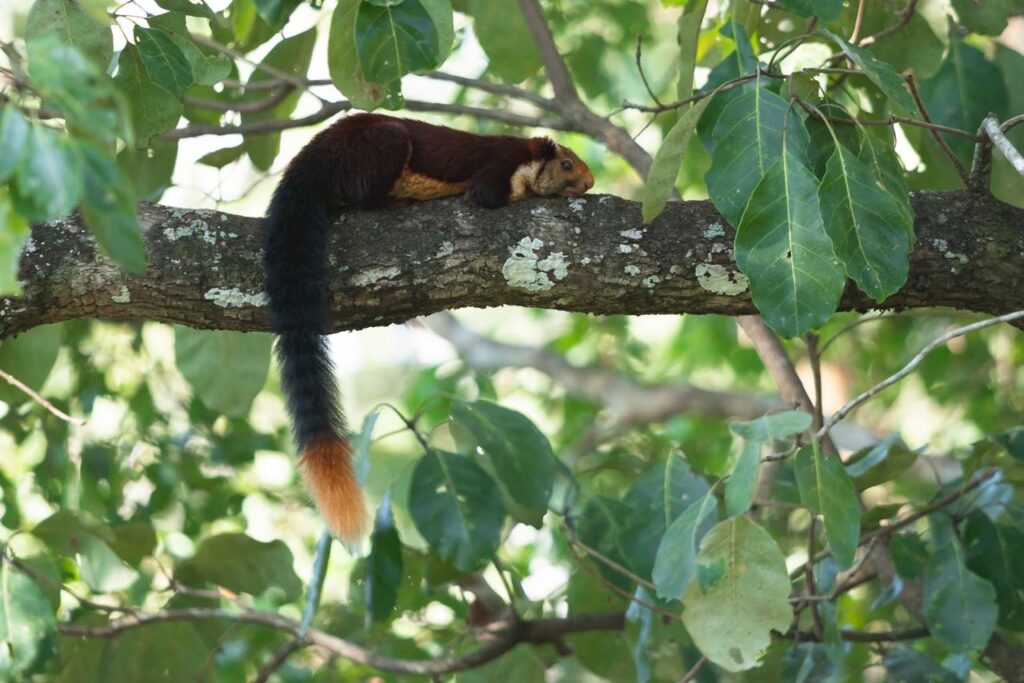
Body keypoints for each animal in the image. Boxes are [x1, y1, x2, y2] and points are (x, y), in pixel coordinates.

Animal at [260, 114, 593, 544]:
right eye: (567, 165)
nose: (589, 183)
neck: (526, 157)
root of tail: (312, 156)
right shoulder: (497, 167)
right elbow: (488, 196)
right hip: (378, 148)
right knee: (362, 197)